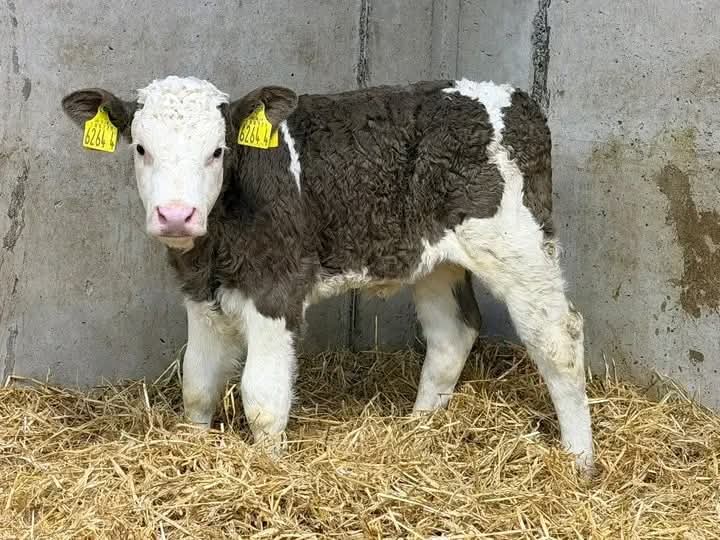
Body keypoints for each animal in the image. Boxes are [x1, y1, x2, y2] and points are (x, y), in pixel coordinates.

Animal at [61, 76, 593, 470]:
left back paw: (579, 462)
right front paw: (191, 450)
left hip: (518, 244)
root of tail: (517, 96)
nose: (176, 215)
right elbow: (196, 384)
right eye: (140, 148)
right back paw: (419, 431)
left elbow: (262, 399)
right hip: (436, 261)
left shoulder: (276, 290)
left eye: (217, 150)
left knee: (558, 338)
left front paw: (269, 470)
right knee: (452, 335)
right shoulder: (199, 293)